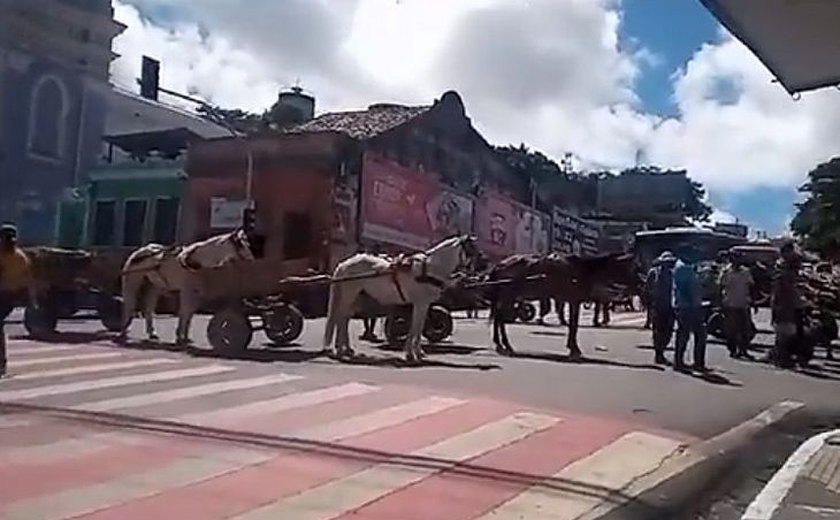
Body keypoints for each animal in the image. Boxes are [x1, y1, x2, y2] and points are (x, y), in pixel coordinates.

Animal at [119, 229, 253, 346]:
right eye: (240, 244)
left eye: (245, 243)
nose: (251, 258)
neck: (195, 259)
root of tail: (140, 251)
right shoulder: (186, 291)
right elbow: (184, 312)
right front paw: (179, 337)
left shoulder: (195, 292)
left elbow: (189, 314)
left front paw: (185, 337)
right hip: (132, 282)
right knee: (129, 305)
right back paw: (123, 331)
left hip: (154, 286)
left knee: (148, 309)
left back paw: (152, 333)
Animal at [324, 235, 480, 362]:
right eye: (472, 249)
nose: (479, 272)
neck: (429, 269)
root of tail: (344, 264)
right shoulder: (420, 303)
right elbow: (416, 327)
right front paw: (412, 354)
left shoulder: (424, 305)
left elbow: (418, 327)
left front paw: (416, 352)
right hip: (349, 294)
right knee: (341, 318)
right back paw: (340, 350)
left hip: (356, 297)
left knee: (344, 319)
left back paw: (347, 349)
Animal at [486, 252, 636, 358]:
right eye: (628, 268)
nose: (639, 283)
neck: (582, 270)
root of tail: (500, 264)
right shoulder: (574, 301)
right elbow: (574, 324)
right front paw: (574, 349)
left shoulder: (571, 300)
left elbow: (572, 324)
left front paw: (572, 346)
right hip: (508, 296)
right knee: (500, 318)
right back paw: (505, 344)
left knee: (498, 318)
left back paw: (500, 344)